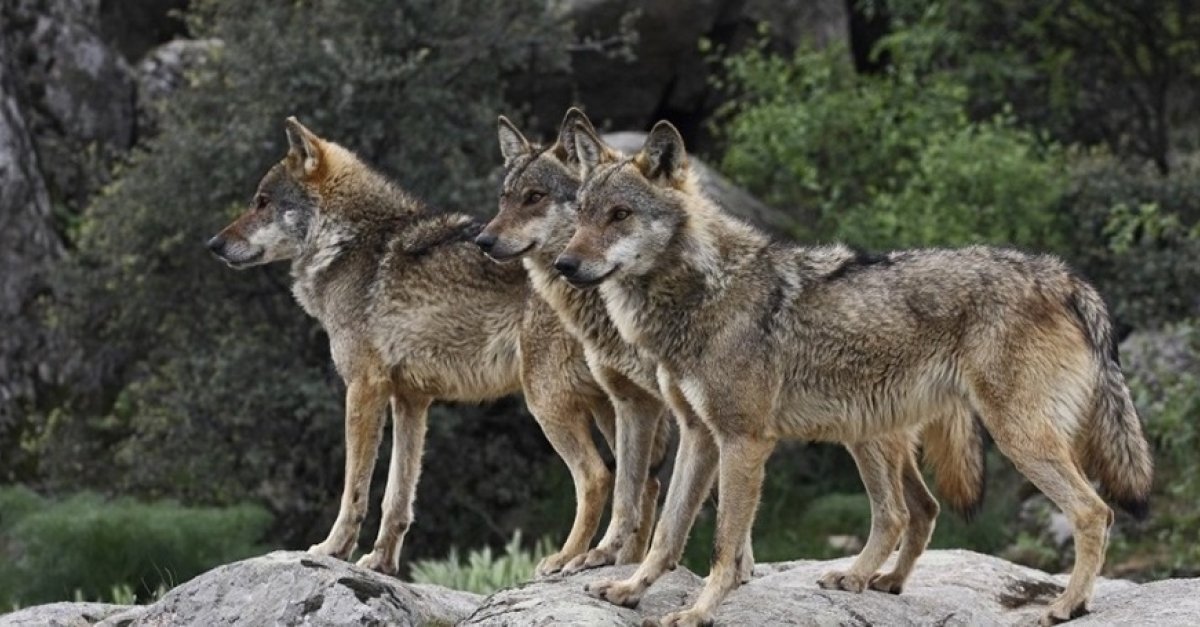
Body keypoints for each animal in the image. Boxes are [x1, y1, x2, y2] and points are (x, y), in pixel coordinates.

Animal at [206, 117, 640, 577]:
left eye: (262, 202)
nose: (213, 244)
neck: (350, 244)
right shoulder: (411, 400)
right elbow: (397, 496)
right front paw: (380, 561)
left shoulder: (364, 388)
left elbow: (355, 488)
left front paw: (332, 549)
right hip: (609, 406)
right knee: (642, 481)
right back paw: (621, 562)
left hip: (546, 402)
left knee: (597, 476)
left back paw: (568, 559)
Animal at [556, 120, 1153, 626]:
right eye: (581, 214)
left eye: (619, 215)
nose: (564, 264)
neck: (703, 291)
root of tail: (1064, 275)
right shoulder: (699, 435)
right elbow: (667, 530)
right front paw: (628, 590)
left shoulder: (744, 441)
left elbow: (724, 544)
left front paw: (699, 612)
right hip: (869, 430)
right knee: (904, 513)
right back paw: (870, 579)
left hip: (1013, 439)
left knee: (1093, 512)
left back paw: (1067, 606)